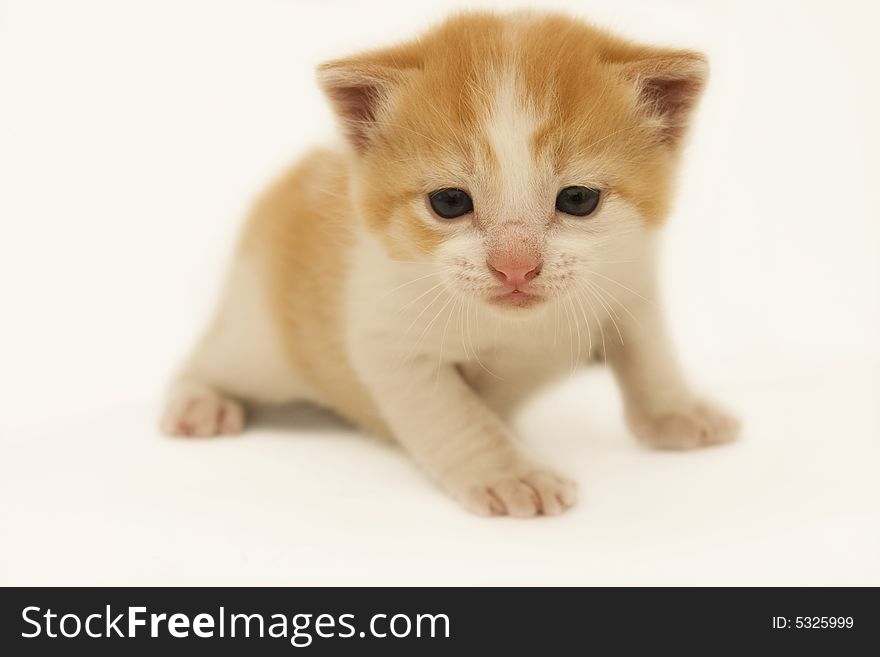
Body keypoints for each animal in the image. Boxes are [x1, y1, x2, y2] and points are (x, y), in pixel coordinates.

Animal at [162, 7, 740, 516]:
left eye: (578, 199)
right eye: (449, 202)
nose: (515, 267)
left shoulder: (633, 277)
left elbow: (649, 349)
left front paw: (677, 412)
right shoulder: (387, 335)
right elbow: (454, 414)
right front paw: (511, 474)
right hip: (257, 339)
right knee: (211, 359)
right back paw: (198, 401)